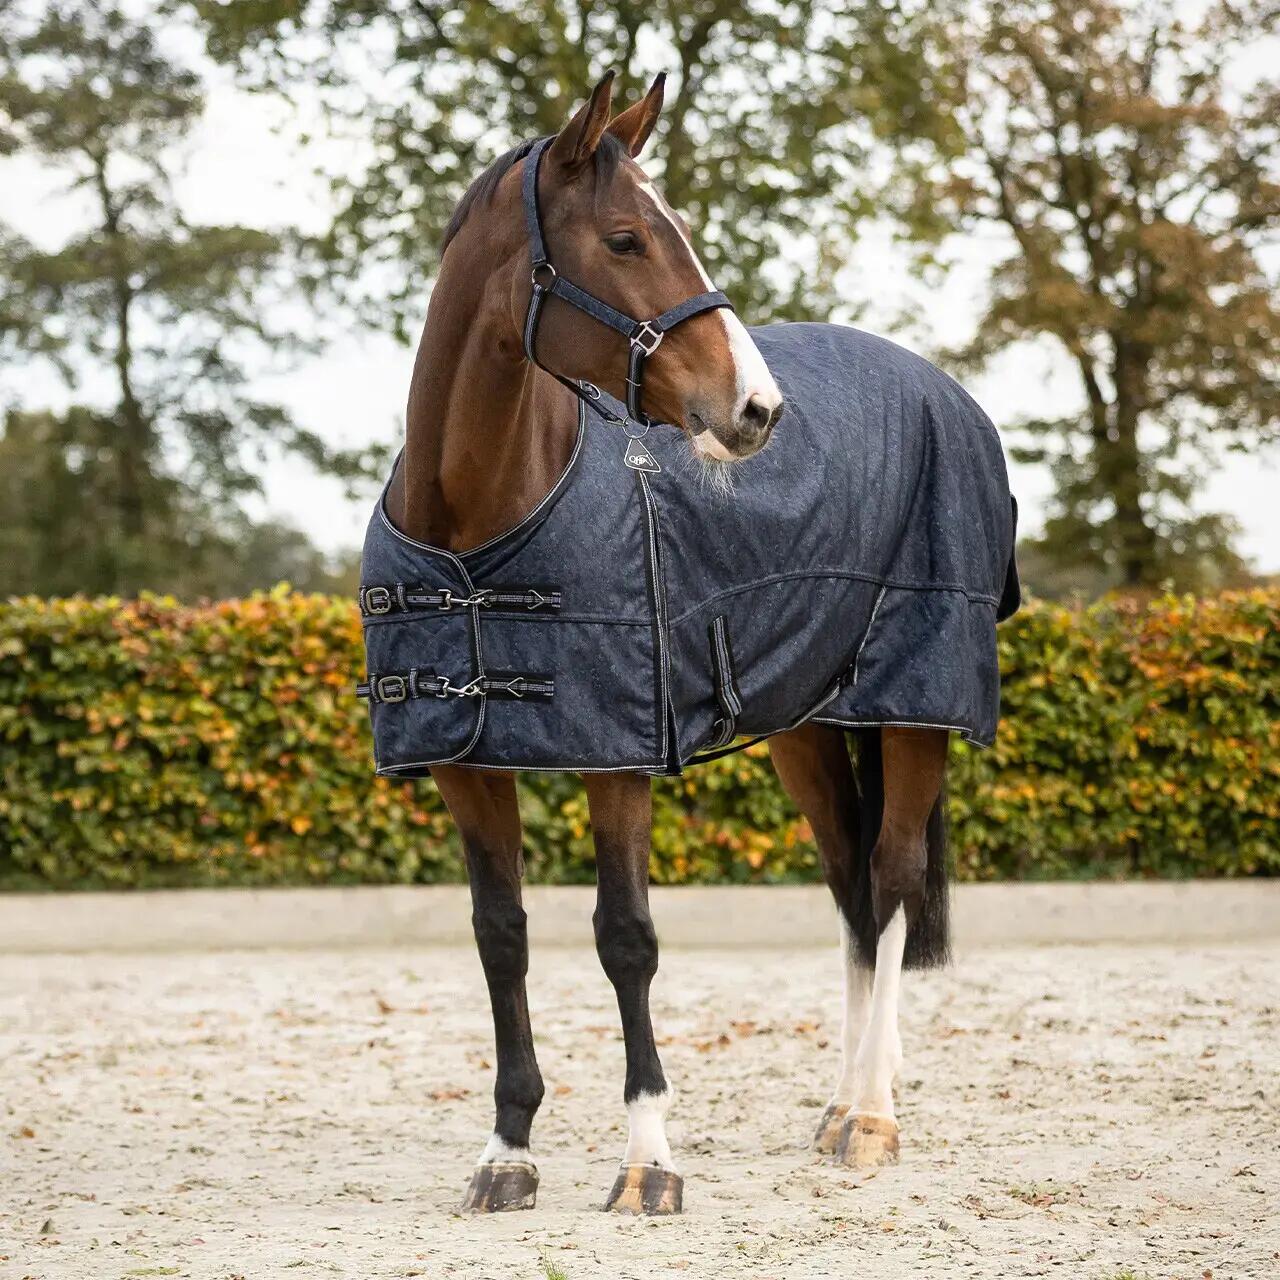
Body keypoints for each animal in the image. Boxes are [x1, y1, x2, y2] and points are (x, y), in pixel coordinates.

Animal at [362, 70, 1019, 1215]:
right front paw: (506, 1152)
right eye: (625, 239)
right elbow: (501, 936)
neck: (478, 521)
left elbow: (625, 937)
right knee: (852, 890)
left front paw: (647, 1158)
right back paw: (839, 1107)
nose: (755, 408)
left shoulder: (618, 754)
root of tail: (943, 390)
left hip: (914, 705)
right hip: (805, 726)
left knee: (891, 883)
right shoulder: (463, 762)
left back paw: (872, 1117)